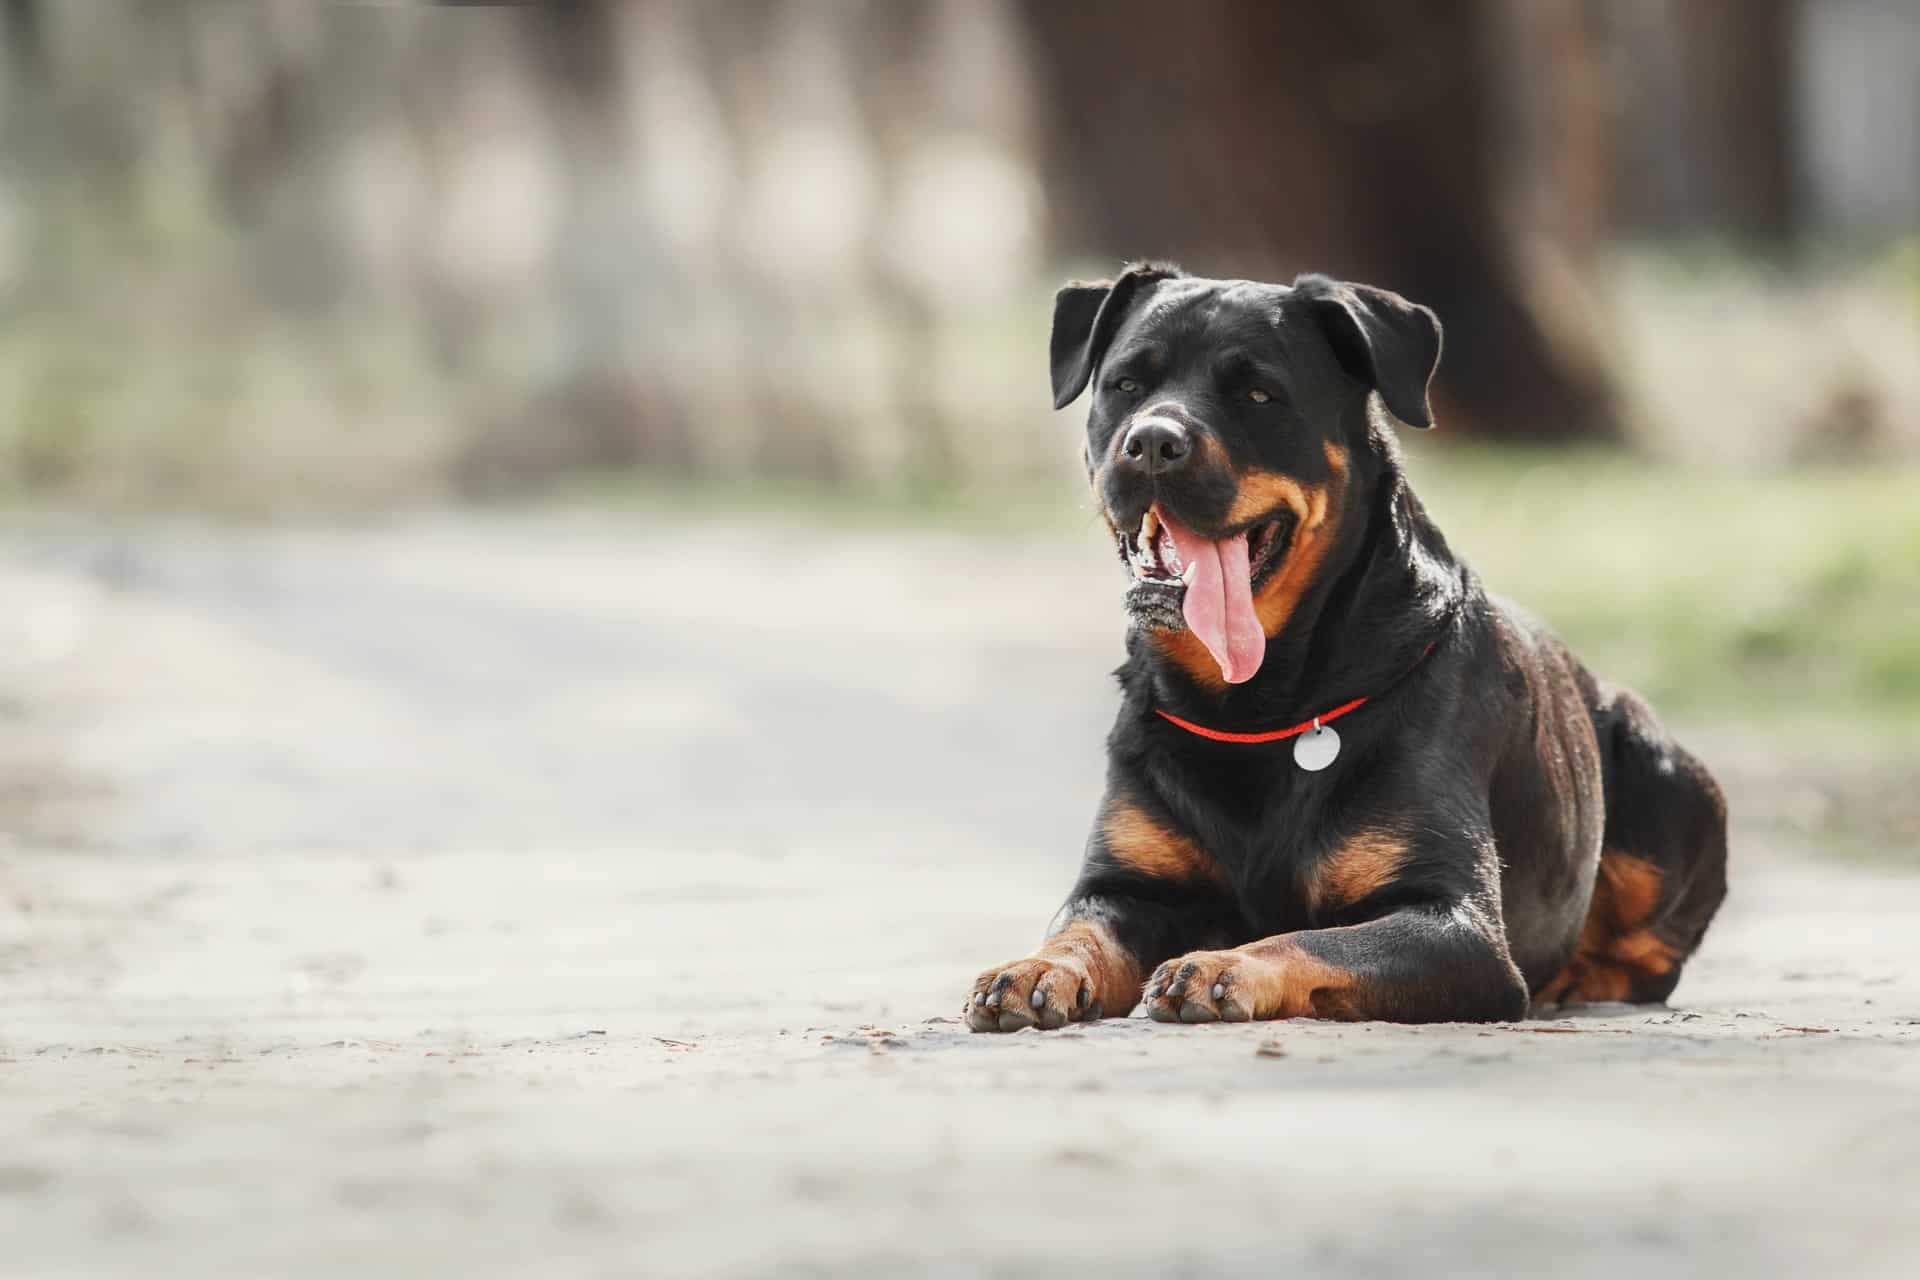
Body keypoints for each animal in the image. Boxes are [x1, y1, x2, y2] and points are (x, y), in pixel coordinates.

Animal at [967, 264, 1735, 1036]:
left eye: (1260, 394)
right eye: (1126, 384)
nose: (1153, 442)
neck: (1254, 701)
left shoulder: (1456, 926)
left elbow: (1313, 938)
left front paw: (1221, 963)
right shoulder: (1125, 884)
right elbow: (1079, 928)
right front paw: (1036, 966)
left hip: (1662, 775)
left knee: (1651, 959)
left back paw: (1580, 977)